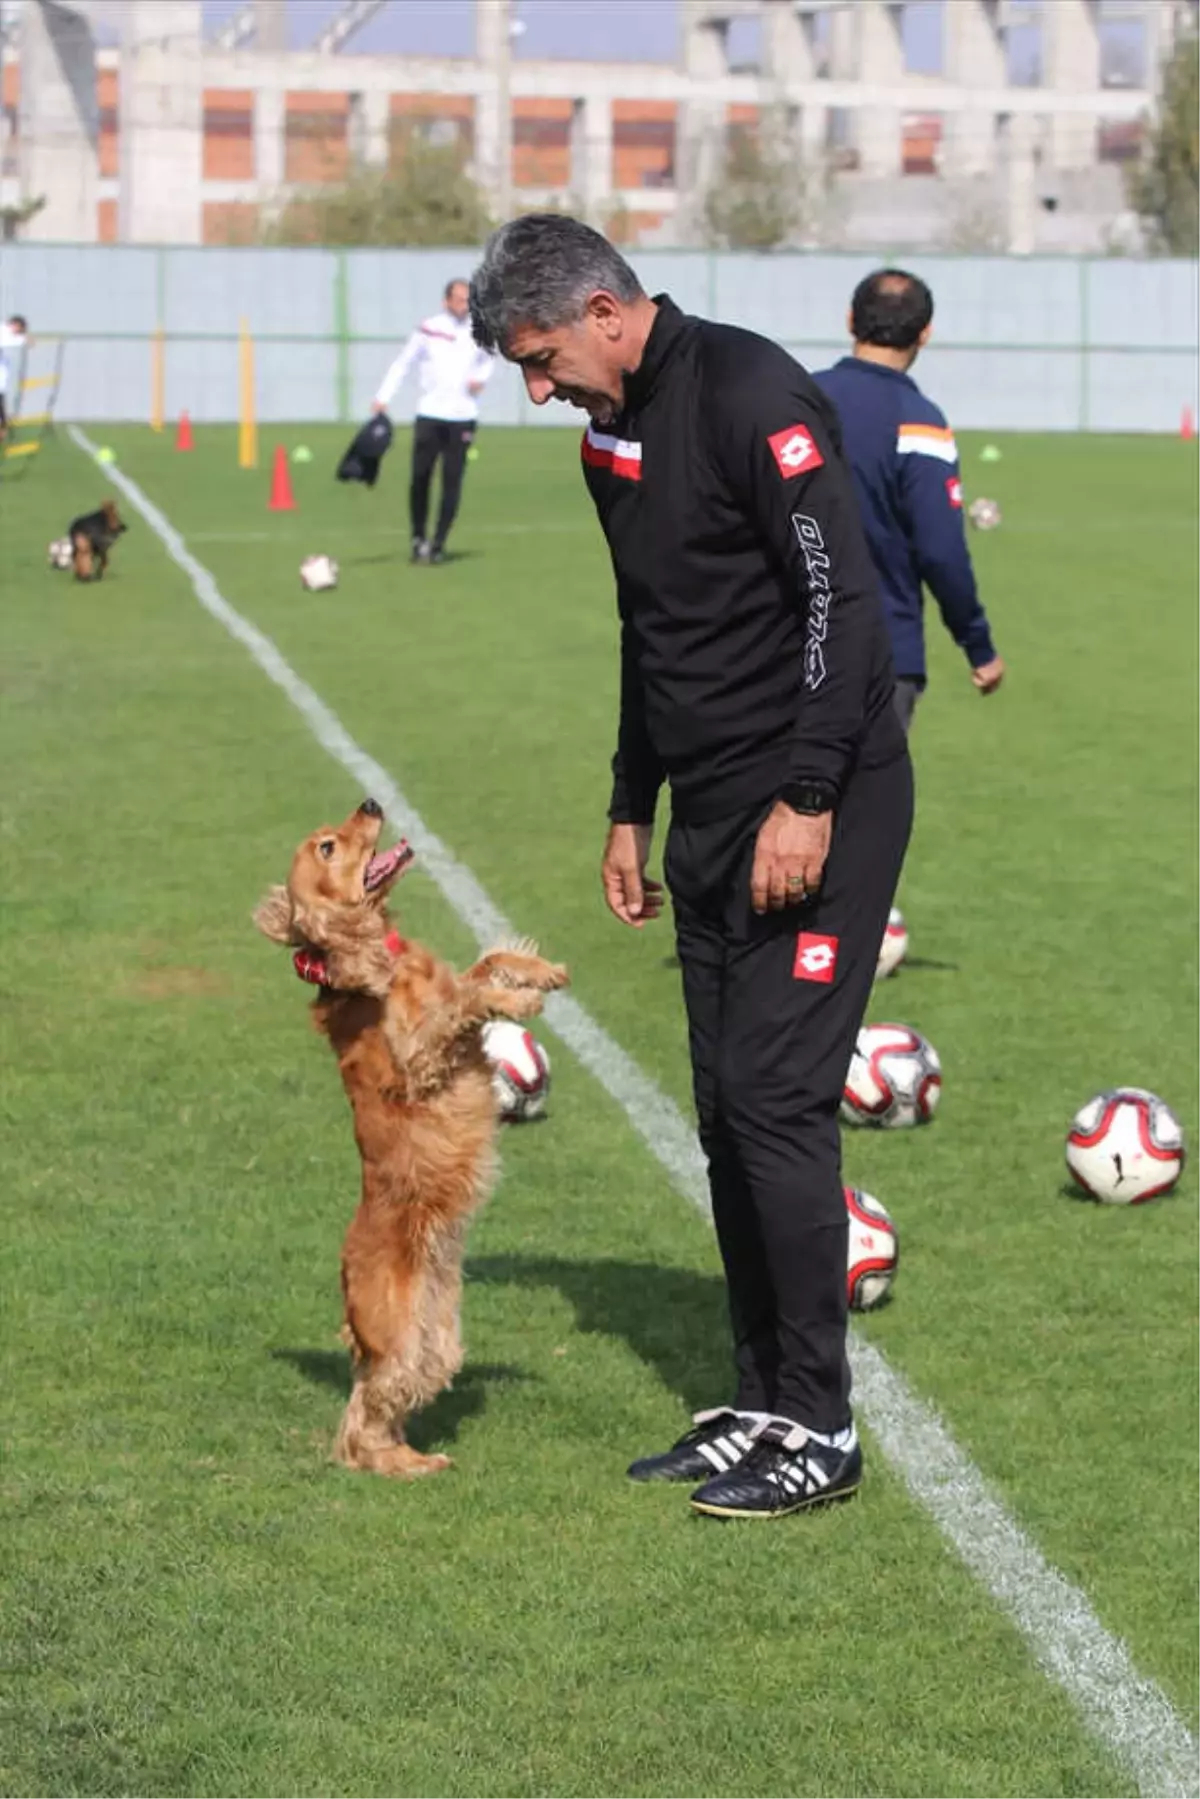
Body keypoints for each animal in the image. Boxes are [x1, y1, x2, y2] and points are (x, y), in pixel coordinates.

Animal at [255, 802, 564, 1475]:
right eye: (327, 847)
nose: (371, 803)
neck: (379, 956)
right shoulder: (419, 1060)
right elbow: (466, 1000)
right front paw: (513, 1000)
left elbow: (481, 964)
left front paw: (538, 973)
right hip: (395, 1340)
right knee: (360, 1424)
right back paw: (407, 1466)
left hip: (435, 1344)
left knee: (385, 1403)